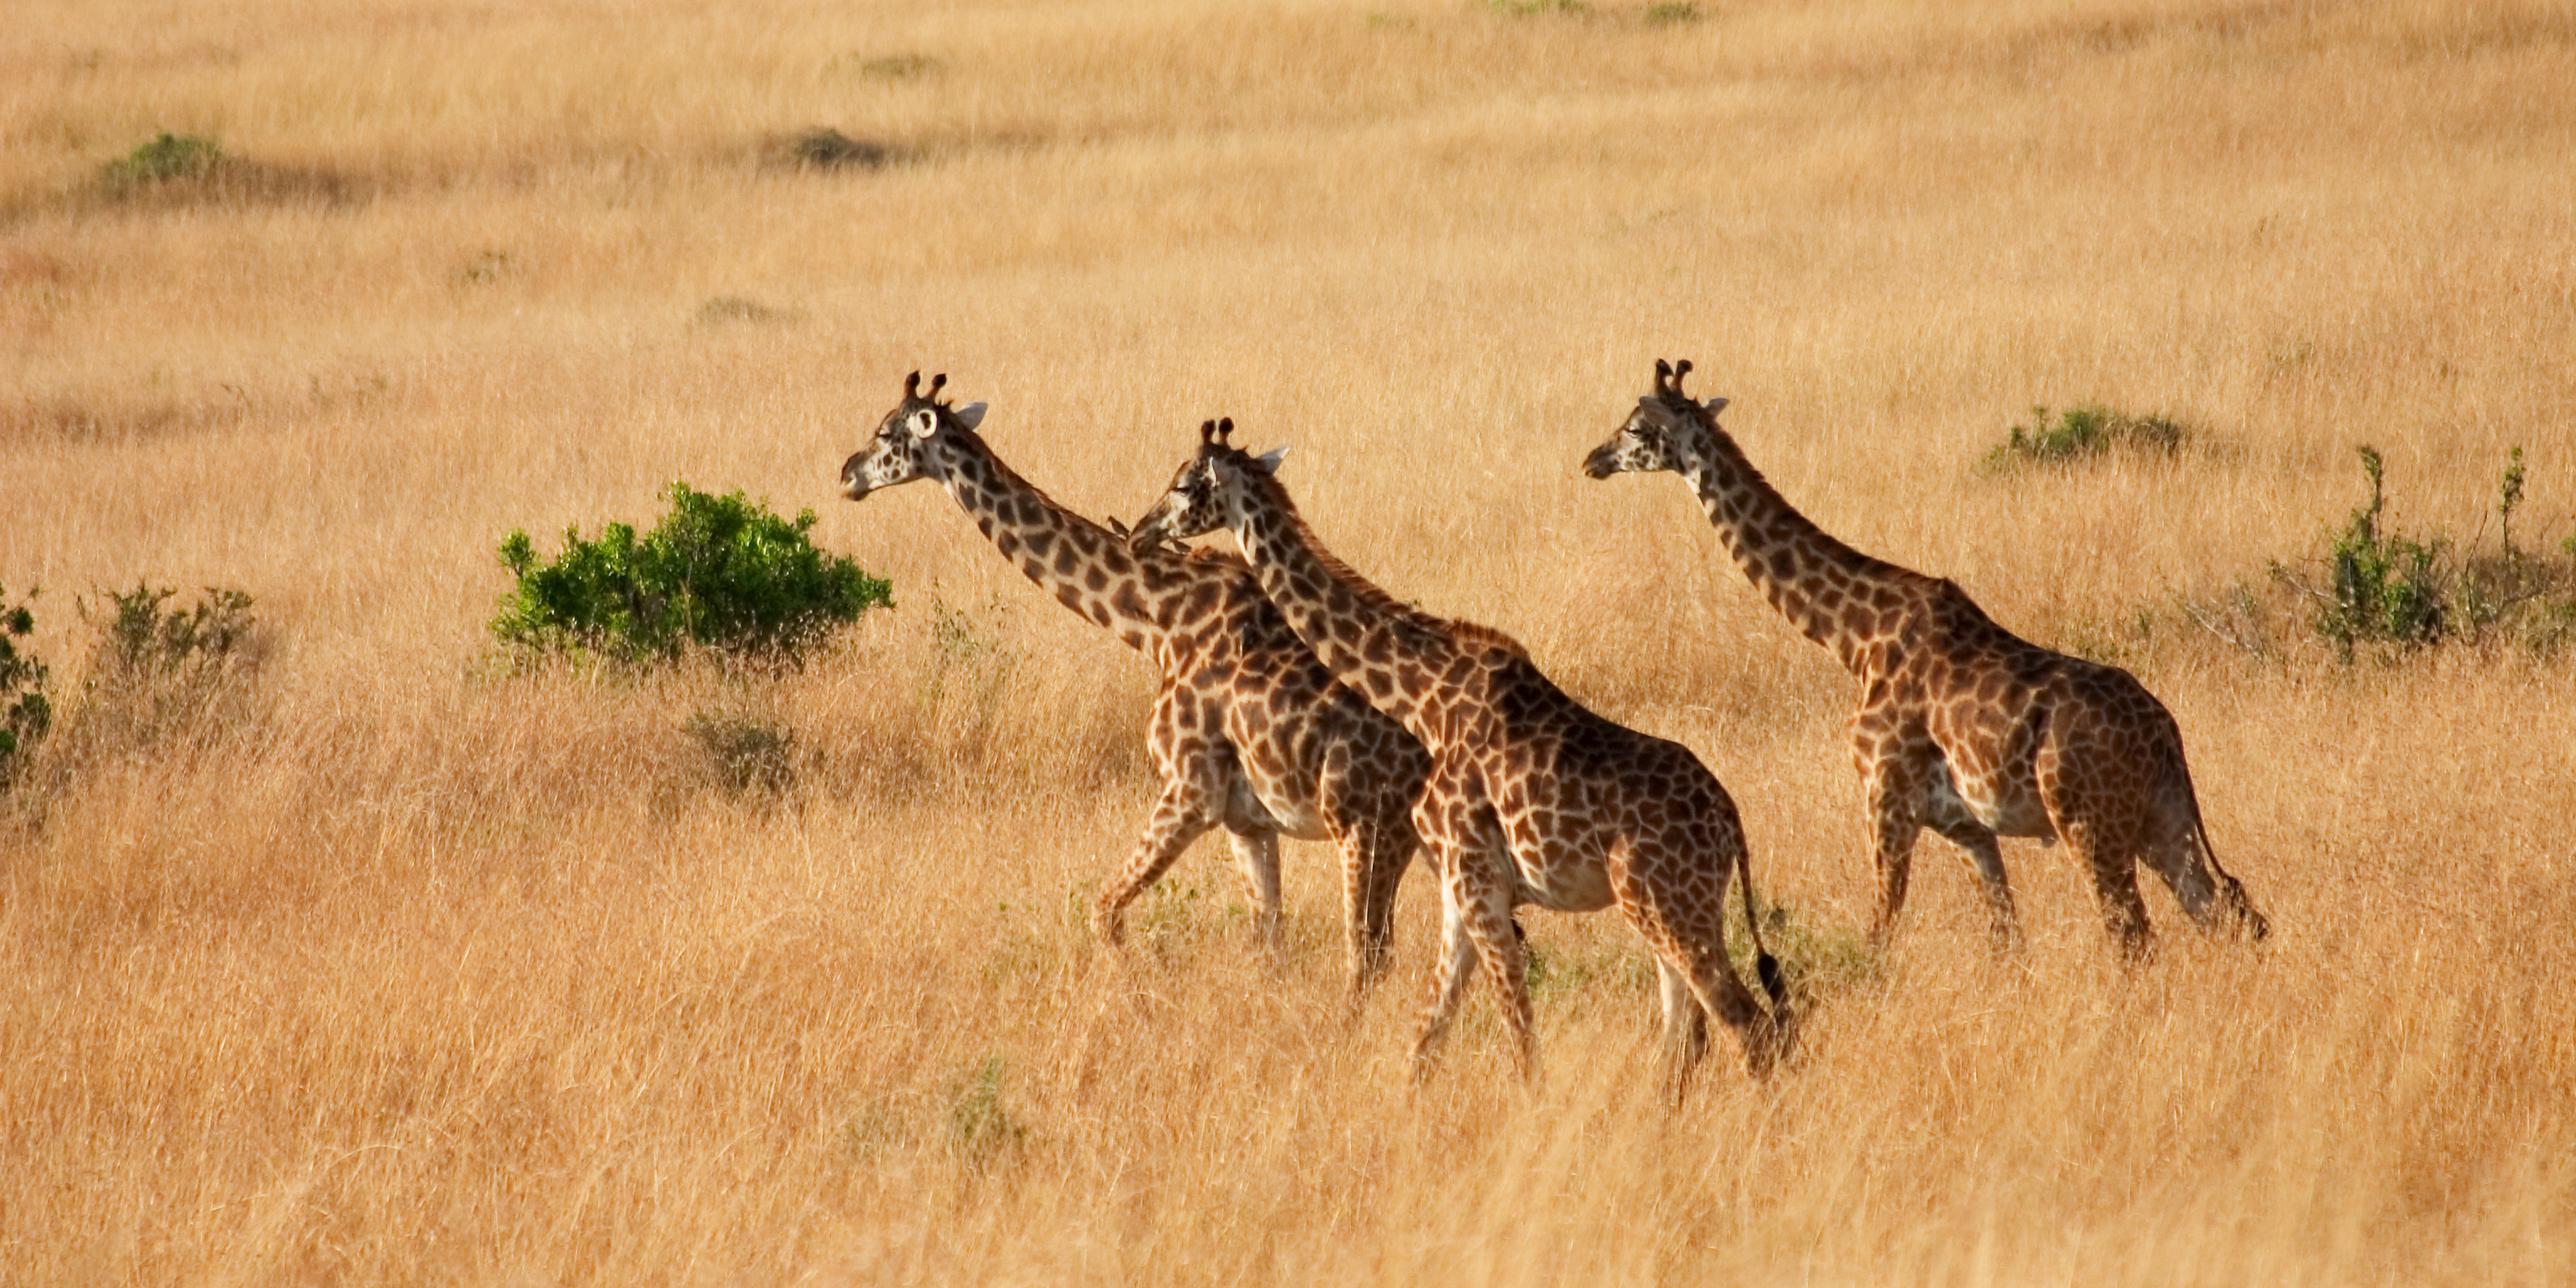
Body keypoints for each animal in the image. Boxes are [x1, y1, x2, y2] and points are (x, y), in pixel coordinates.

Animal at [834, 375, 1431, 1004]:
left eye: (886, 433)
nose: (847, 474)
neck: (1158, 623)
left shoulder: (1190, 791)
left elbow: (1103, 911)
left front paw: (1143, 1005)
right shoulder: (1248, 820)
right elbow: (1268, 944)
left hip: (1366, 830)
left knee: (1368, 955)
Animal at [1128, 414, 1793, 1097]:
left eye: (1184, 486)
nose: (1139, 531)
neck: (1423, 699)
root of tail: (1730, 825)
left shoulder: (1477, 879)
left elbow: (1518, 1036)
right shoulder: (1457, 886)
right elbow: (1426, 1041)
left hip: (1666, 906)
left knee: (1747, 1027)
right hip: (1669, 910)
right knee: (1687, 1036)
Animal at [1576, 358, 2266, 963]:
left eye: (1635, 427)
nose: (1591, 460)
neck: (1852, 637)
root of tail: (2166, 733)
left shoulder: (1884, 799)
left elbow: (1878, 934)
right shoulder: (1968, 828)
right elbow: (2007, 943)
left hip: (2089, 825)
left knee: (2134, 939)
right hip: (2161, 821)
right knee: (2223, 918)